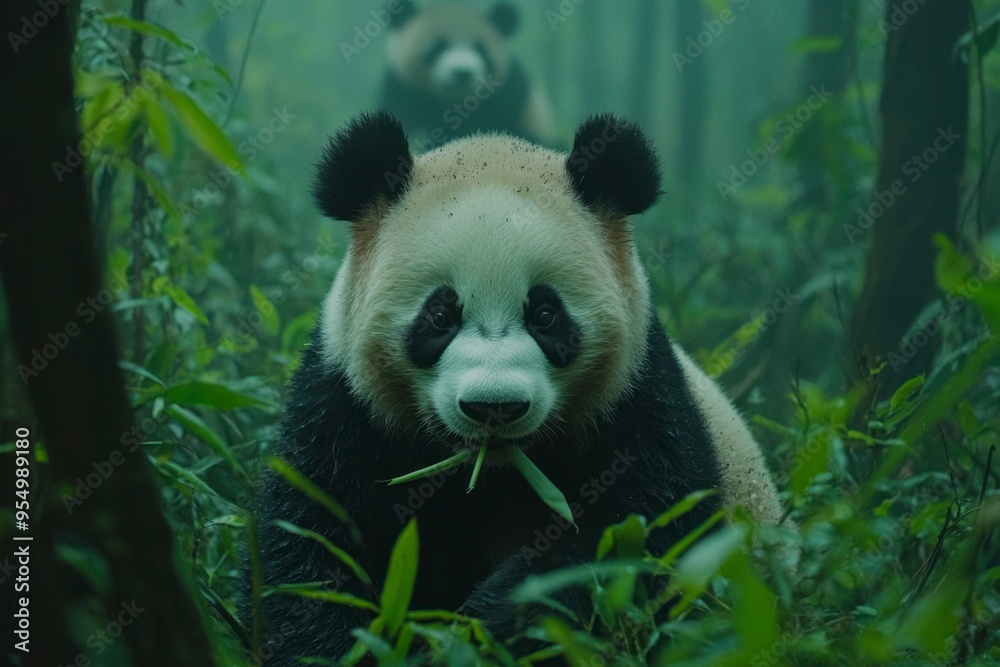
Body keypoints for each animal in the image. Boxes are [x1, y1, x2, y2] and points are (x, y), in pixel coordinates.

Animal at [251, 111, 785, 664]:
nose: (495, 407)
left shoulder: (638, 398)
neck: (496, 474)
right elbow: (312, 535)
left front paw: (483, 628)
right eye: (440, 315)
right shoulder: (344, 400)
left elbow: (638, 535)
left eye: (545, 314)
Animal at [380, 1, 553, 147]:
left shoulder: (510, 96)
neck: (456, 104)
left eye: (480, 49)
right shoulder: (403, 89)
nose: (462, 73)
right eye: (438, 47)